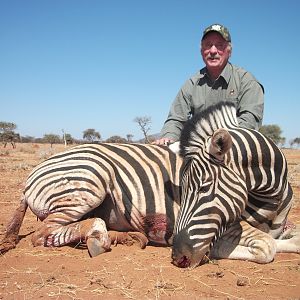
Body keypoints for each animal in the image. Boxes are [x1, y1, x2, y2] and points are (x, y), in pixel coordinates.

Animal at [171, 101, 300, 268]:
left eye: (204, 188)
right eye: (181, 191)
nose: (177, 256)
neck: (270, 199)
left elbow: (280, 240)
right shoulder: (232, 225)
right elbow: (267, 246)